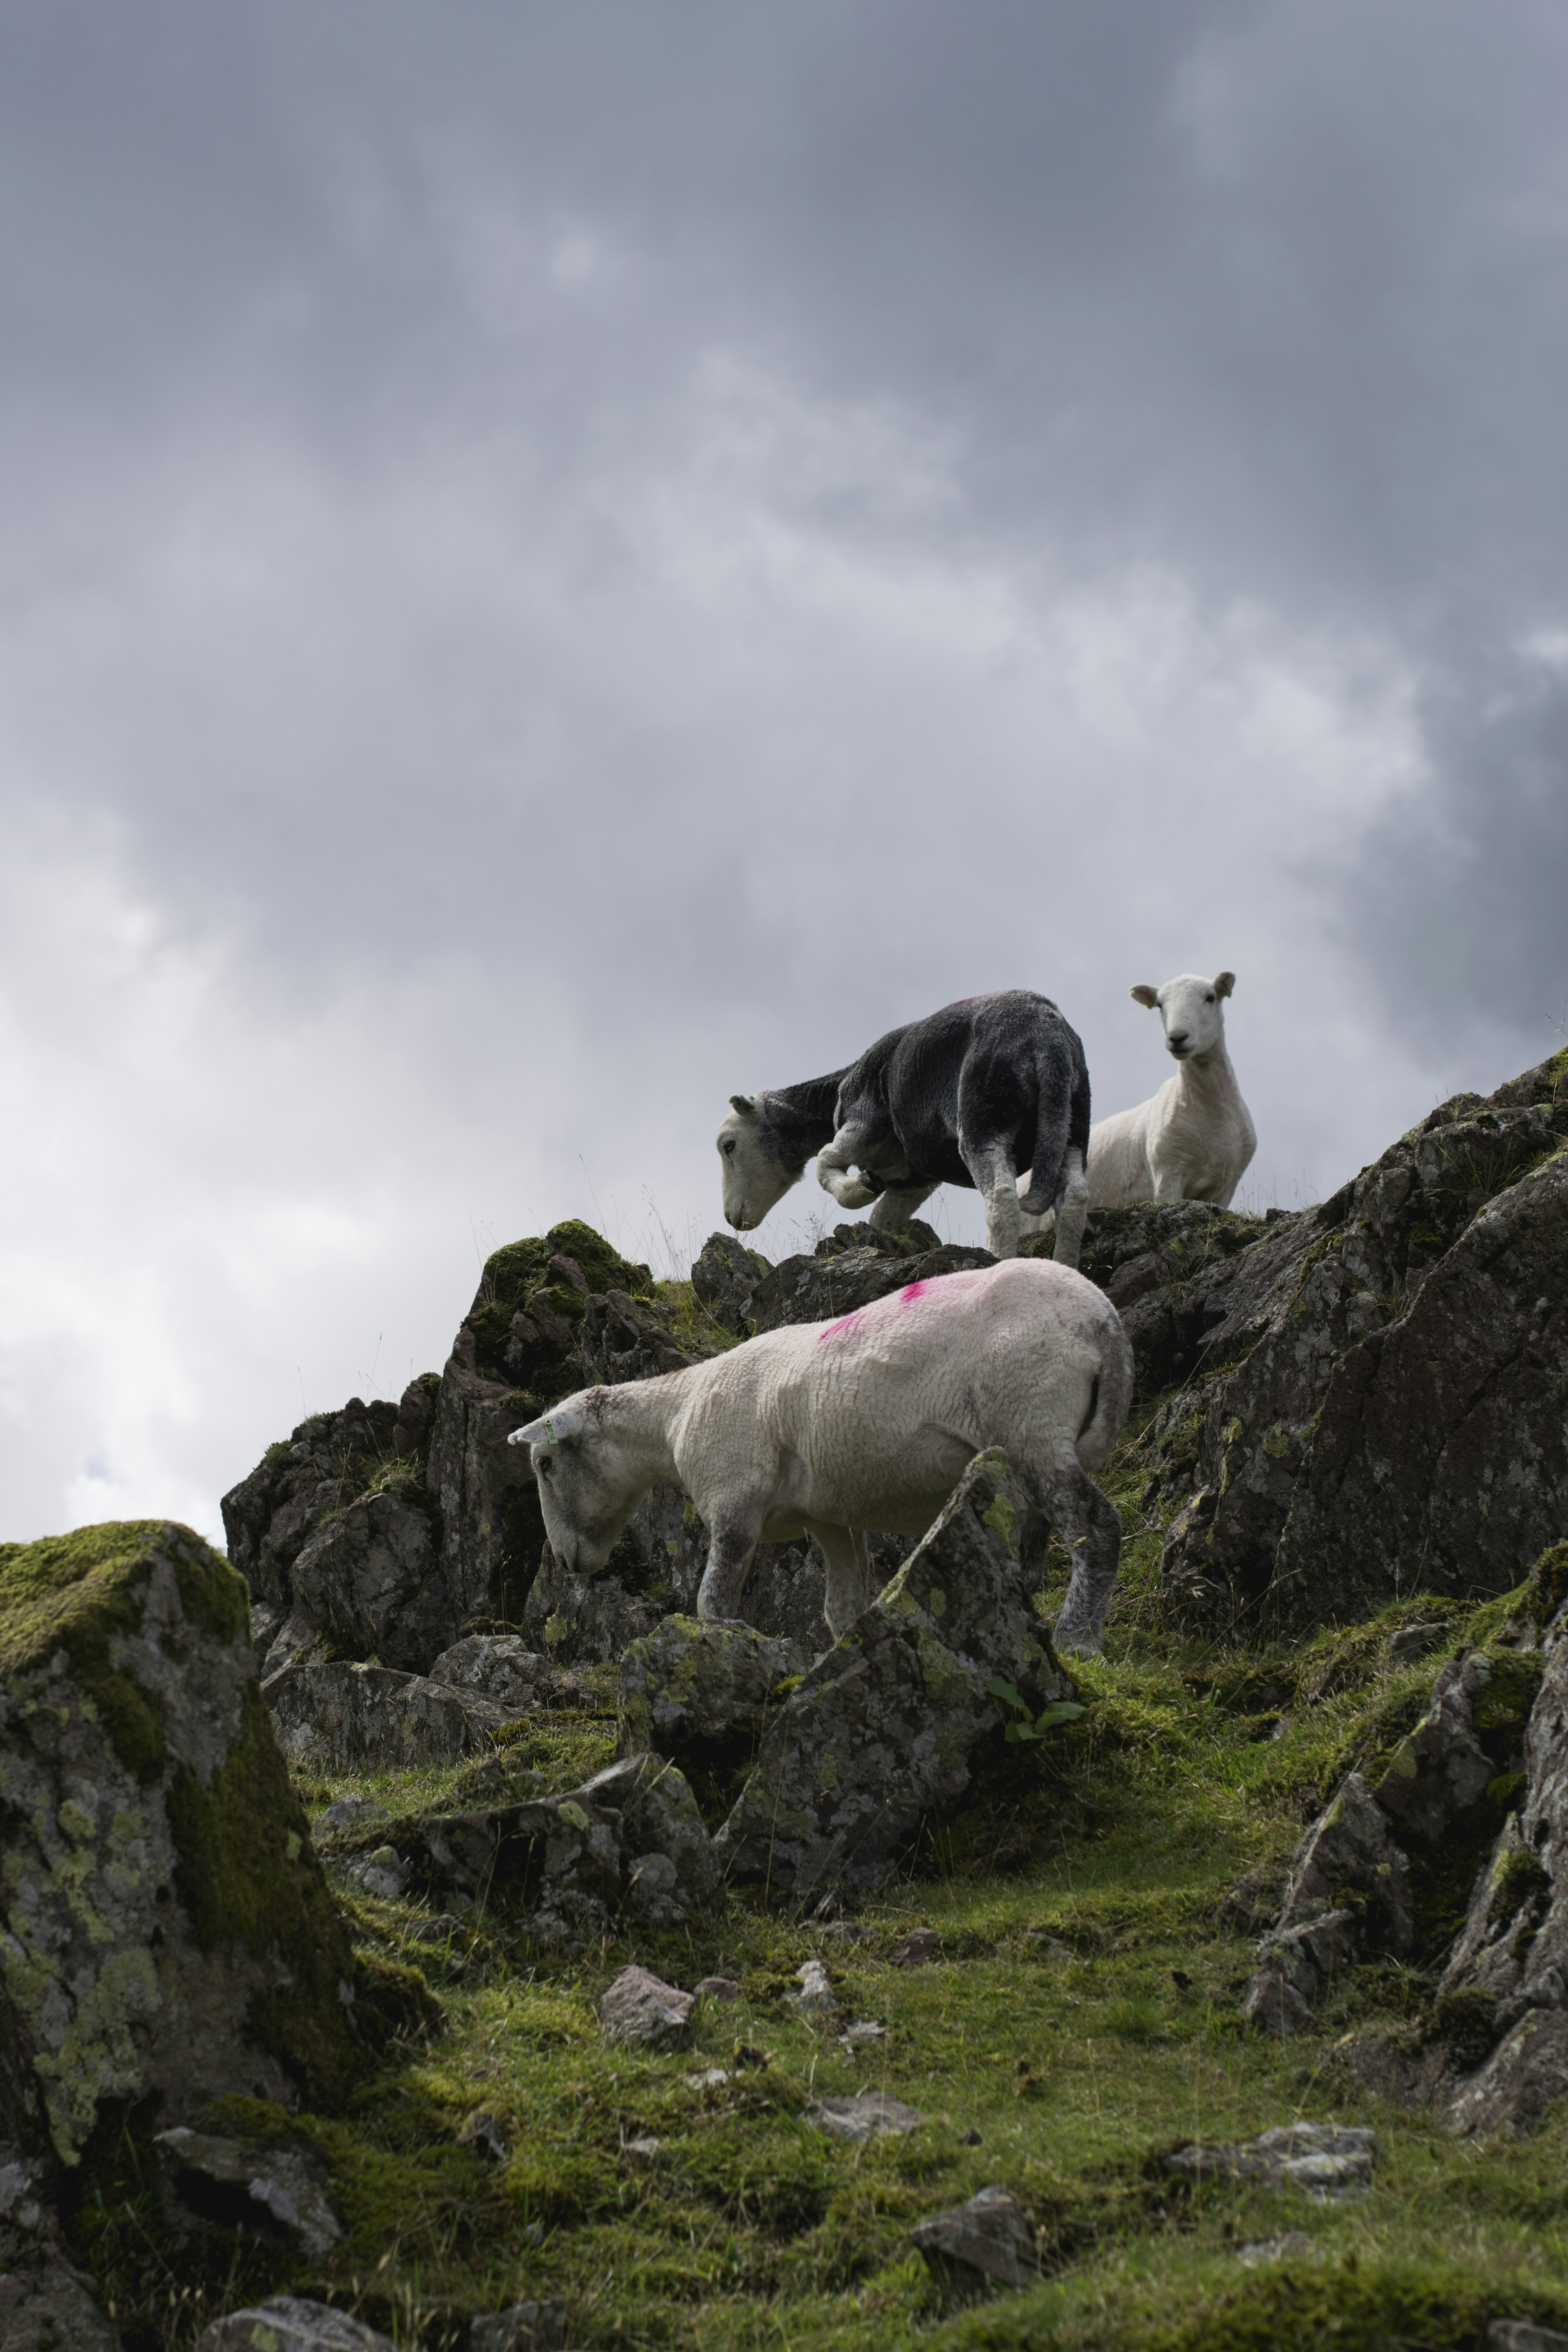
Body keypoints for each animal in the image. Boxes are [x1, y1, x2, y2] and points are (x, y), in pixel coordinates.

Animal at [507, 1256, 1134, 1657]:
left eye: (544, 1465)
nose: (564, 1561)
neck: (673, 1415)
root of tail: (1104, 1322)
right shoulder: (830, 1518)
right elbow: (842, 1608)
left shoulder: (733, 1501)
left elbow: (714, 1605)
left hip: (1031, 1416)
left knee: (1097, 1528)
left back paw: (1077, 1641)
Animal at [715, 989, 1092, 1263]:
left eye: (729, 1145)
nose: (732, 1219)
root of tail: (1047, 1037)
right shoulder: (912, 1181)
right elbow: (880, 1221)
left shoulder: (861, 1124)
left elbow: (824, 1165)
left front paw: (858, 1188)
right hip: (1071, 1130)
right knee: (1074, 1199)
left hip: (984, 1118)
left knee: (1002, 1198)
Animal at [1020, 970, 1256, 1232]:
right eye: (1160, 1005)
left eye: (1211, 998)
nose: (1178, 1038)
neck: (1209, 1111)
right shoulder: (1167, 1174)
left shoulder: (1225, 1186)